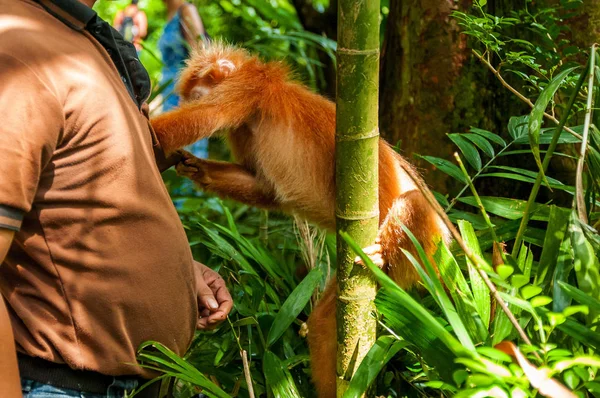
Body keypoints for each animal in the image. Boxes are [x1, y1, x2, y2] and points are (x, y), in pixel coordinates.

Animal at [150, 43, 450, 398]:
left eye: (194, 97)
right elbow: (266, 190)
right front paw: (198, 168)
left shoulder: (244, 89)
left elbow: (198, 119)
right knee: (325, 325)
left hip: (416, 244)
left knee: (412, 202)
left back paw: (383, 253)